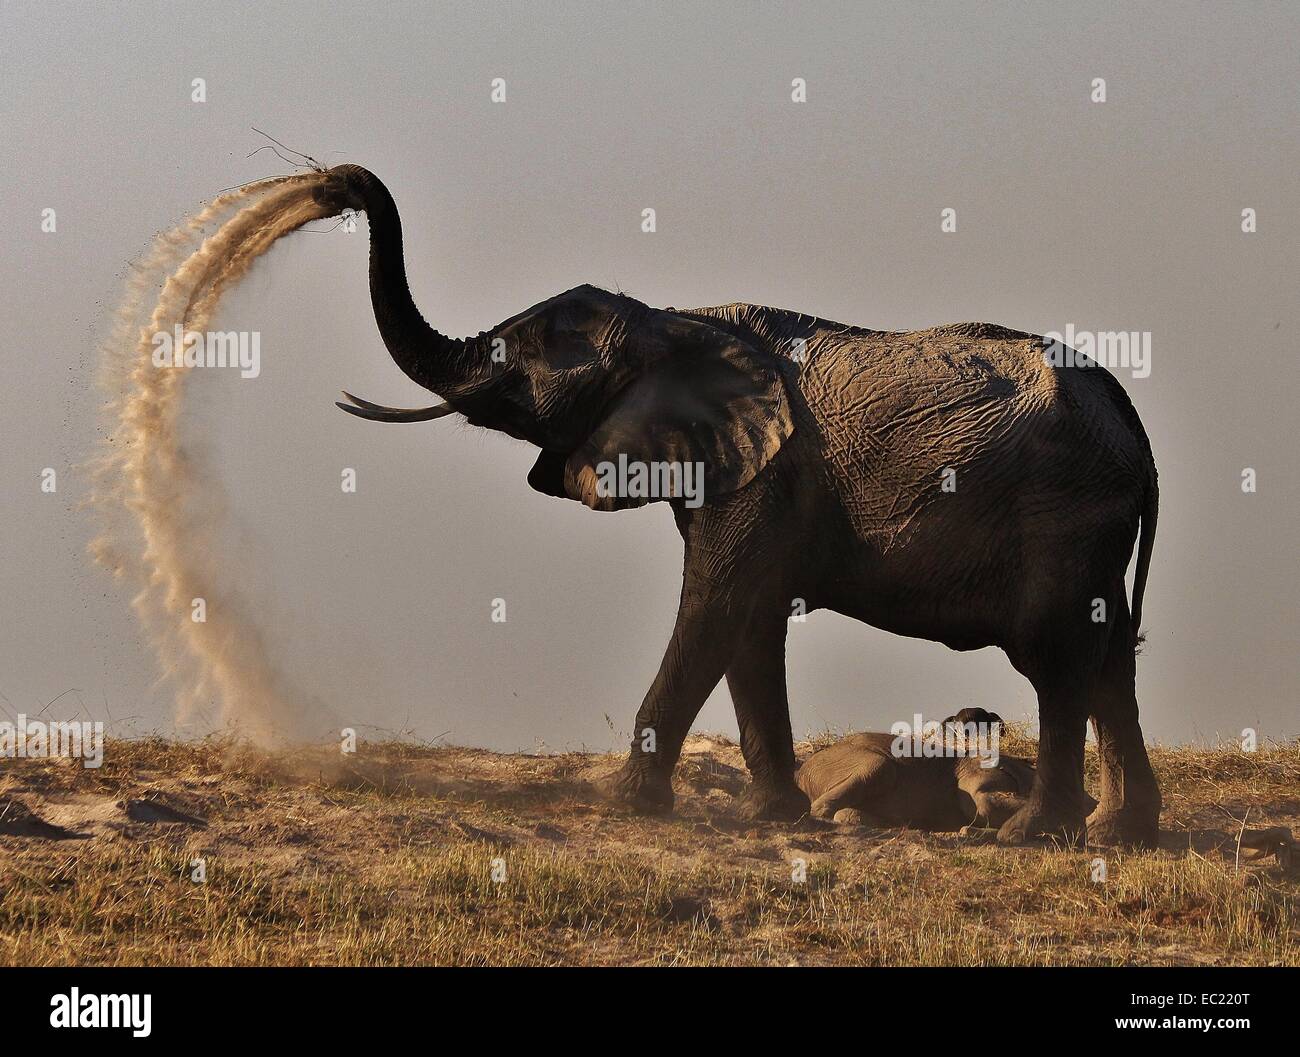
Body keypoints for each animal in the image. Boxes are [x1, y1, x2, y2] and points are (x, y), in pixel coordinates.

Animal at [317, 163, 1170, 847]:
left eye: (519, 357)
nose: (340, 182)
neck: (669, 320)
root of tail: (1131, 419)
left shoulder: (765, 475)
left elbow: (715, 605)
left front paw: (623, 804)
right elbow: (751, 622)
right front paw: (773, 816)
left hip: (1065, 508)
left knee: (1056, 655)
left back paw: (1035, 833)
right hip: (1094, 520)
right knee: (1109, 659)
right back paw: (1116, 833)